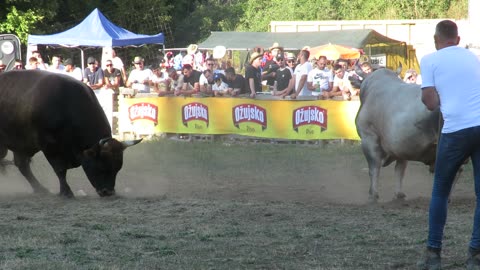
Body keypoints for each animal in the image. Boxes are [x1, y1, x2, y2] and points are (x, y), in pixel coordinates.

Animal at [0, 69, 141, 196]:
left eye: (117, 168)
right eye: (102, 166)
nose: (108, 192)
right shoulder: (50, 147)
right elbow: (60, 170)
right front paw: (66, 192)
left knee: (22, 165)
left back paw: (40, 189)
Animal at [352, 68, 442, 201]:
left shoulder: (369, 138)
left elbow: (374, 168)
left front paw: (373, 194)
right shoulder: (402, 145)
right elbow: (400, 170)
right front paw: (399, 194)